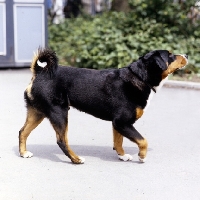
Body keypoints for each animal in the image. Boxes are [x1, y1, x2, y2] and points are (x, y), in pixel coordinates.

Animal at [18, 47, 188, 163]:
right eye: (170, 55)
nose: (186, 55)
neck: (141, 77)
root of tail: (40, 73)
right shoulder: (122, 122)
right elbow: (143, 140)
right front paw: (141, 156)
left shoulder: (118, 123)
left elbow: (118, 141)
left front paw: (122, 155)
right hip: (59, 113)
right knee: (62, 141)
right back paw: (76, 159)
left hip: (37, 113)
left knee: (23, 132)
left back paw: (23, 153)